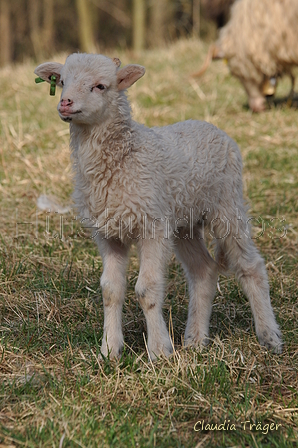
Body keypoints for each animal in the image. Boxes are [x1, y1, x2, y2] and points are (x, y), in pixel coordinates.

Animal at [34, 52, 282, 360]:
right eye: (62, 82)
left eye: (100, 86)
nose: (65, 103)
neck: (122, 159)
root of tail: (209, 125)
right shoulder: (108, 234)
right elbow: (110, 290)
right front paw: (110, 350)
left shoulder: (151, 226)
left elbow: (147, 289)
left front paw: (159, 351)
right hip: (185, 222)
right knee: (203, 271)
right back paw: (196, 339)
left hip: (227, 205)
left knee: (251, 266)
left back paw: (269, 336)